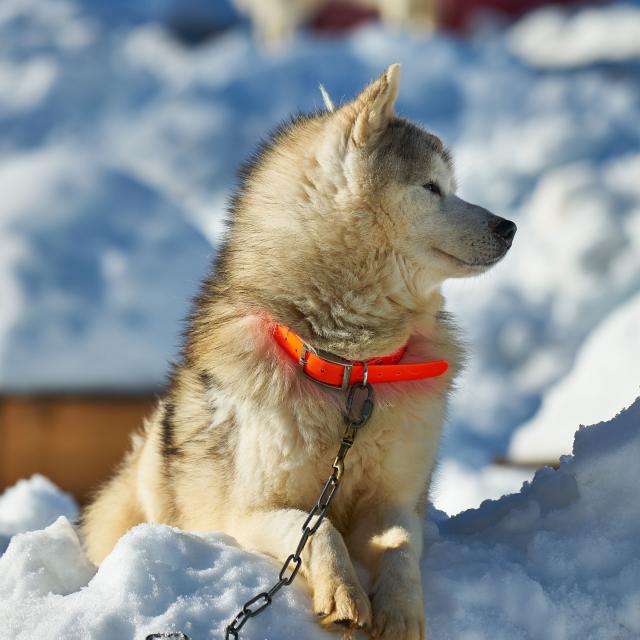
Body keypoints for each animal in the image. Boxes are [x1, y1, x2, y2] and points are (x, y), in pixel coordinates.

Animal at [82, 62, 516, 636]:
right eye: (431, 187)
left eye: (452, 186)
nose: (509, 227)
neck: (351, 371)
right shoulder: (252, 513)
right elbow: (315, 532)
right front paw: (343, 590)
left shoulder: (397, 501)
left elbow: (400, 546)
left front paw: (399, 609)